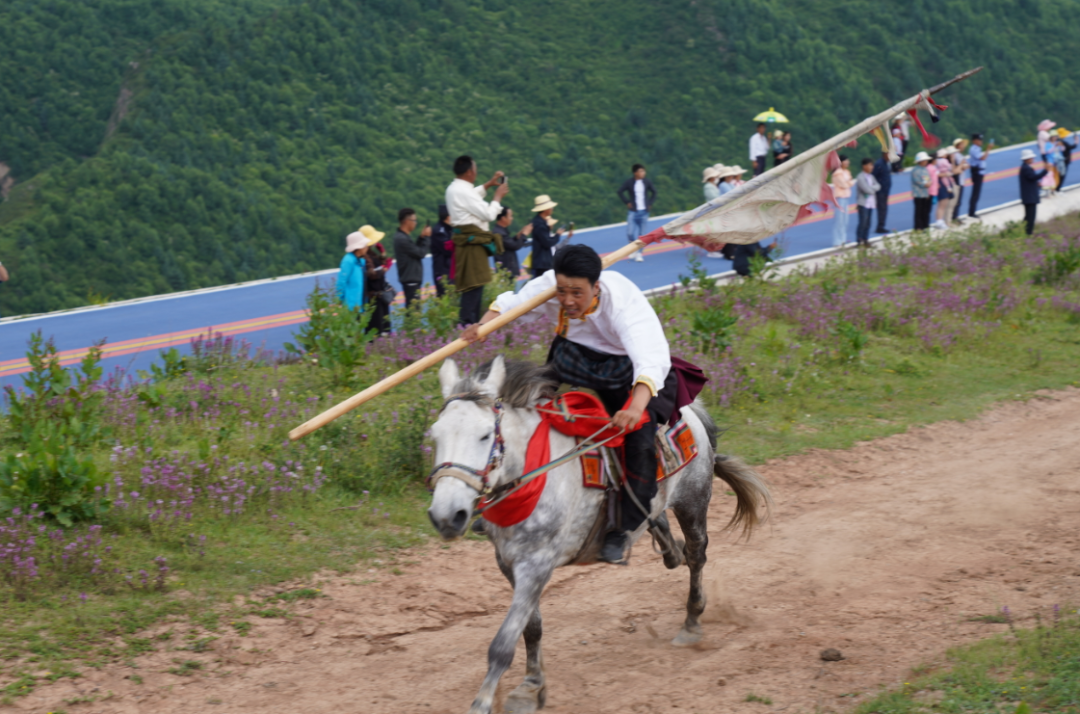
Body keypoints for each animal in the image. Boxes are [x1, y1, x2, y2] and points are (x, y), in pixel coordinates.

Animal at [425, 356, 773, 712]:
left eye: (484, 436)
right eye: (435, 435)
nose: (446, 516)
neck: (535, 472)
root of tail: (691, 411)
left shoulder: (537, 565)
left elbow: (503, 643)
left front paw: (485, 701)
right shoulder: (508, 563)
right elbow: (531, 628)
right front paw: (532, 686)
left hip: (693, 499)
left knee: (697, 555)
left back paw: (691, 621)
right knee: (667, 537)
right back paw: (666, 546)